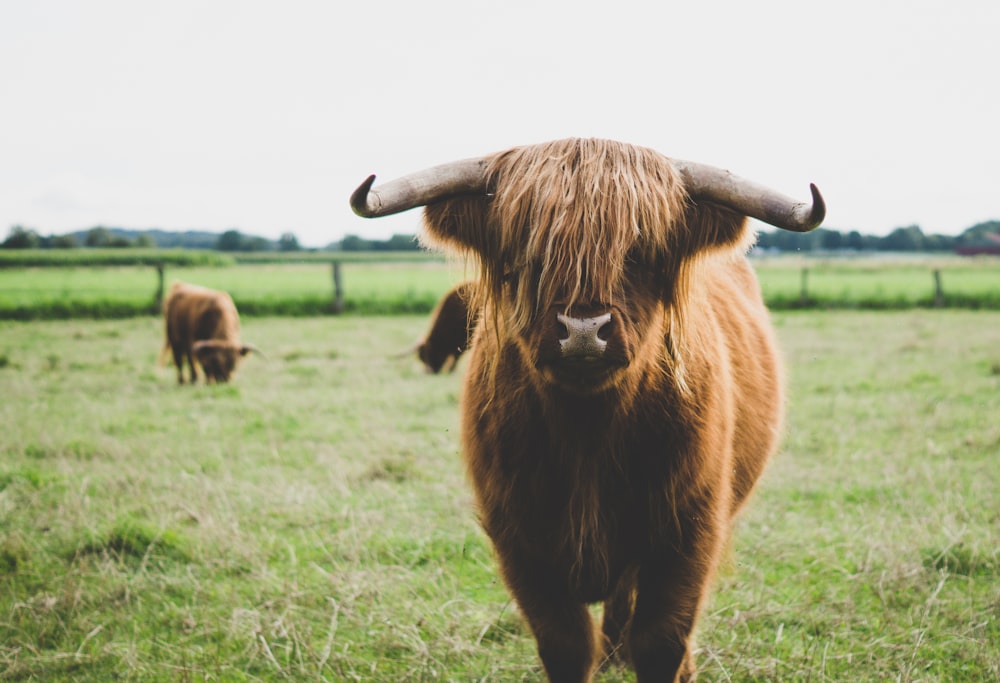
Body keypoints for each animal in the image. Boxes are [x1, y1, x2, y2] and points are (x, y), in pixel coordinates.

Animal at [350, 136, 820, 680]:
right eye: (528, 251)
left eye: (640, 250)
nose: (582, 330)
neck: (588, 433)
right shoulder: (519, 539)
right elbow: (566, 644)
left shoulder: (688, 532)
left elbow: (661, 639)